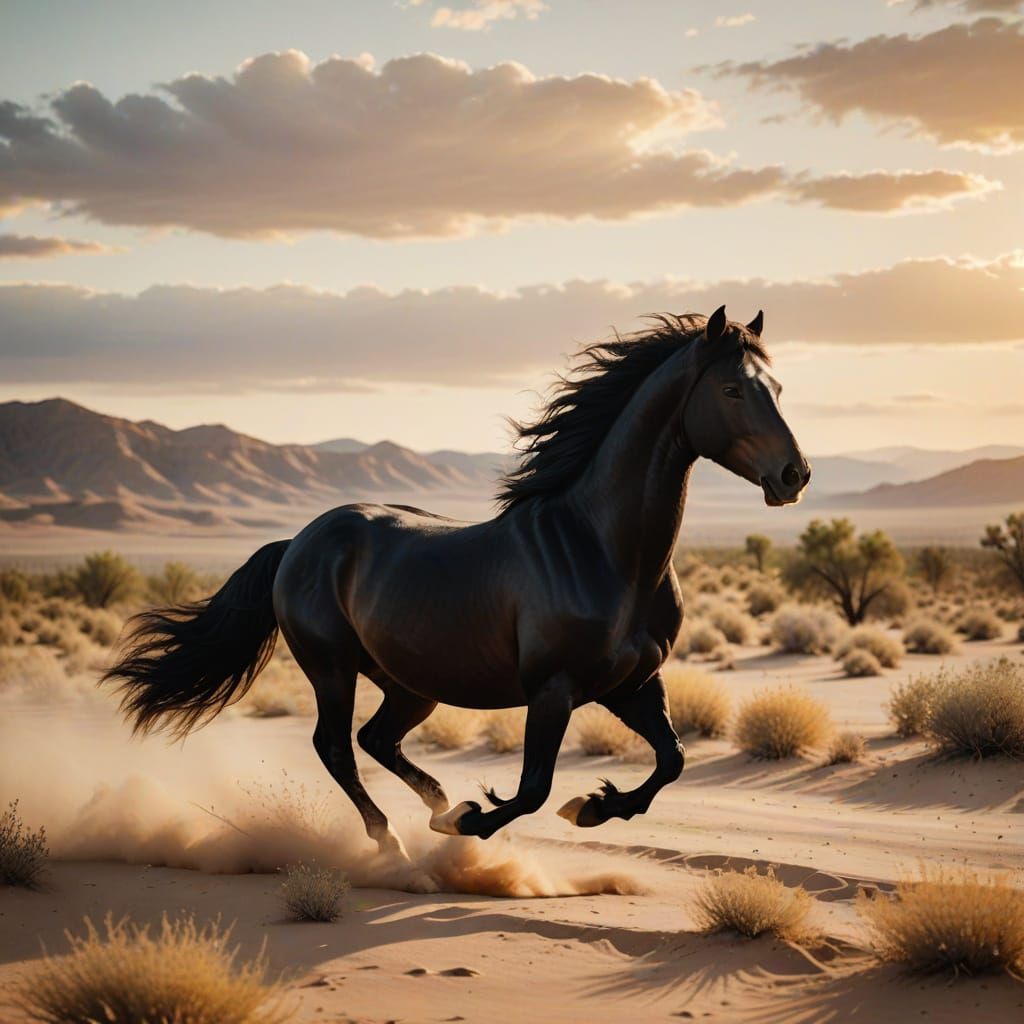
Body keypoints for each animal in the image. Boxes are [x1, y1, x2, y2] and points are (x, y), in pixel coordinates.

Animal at [105, 305, 810, 866]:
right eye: (731, 389)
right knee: (336, 746)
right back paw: (395, 838)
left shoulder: (633, 685)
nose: (794, 474)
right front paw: (479, 820)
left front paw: (592, 807)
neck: (604, 552)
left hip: (411, 685)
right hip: (331, 668)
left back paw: (436, 804)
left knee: (375, 738)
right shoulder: (553, 691)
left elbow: (672, 759)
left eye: (777, 386)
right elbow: (533, 789)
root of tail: (298, 543)